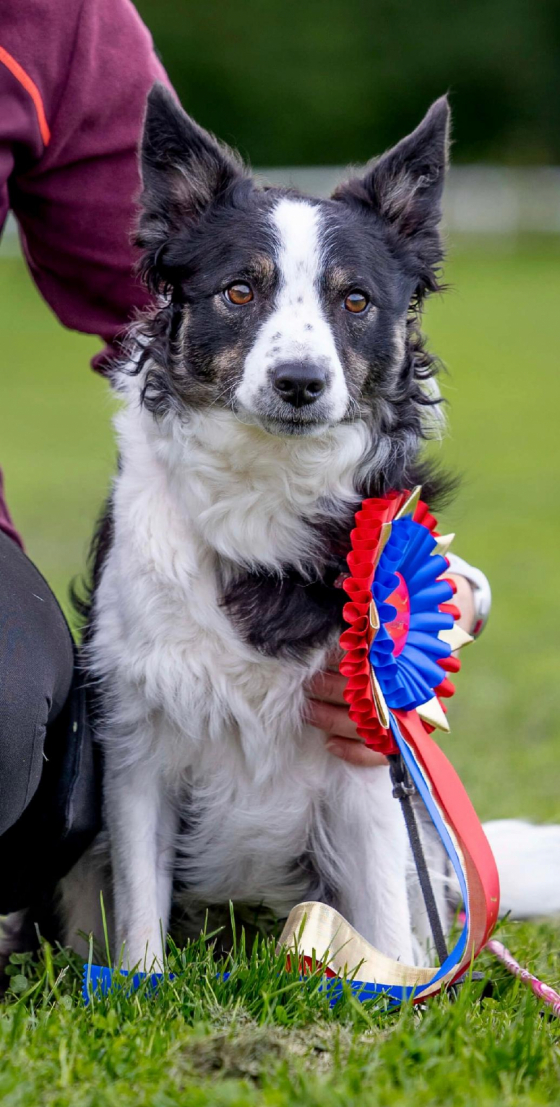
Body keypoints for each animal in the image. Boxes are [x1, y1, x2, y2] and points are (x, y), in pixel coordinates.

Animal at [53, 86, 555, 969]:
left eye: (354, 300)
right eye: (239, 292)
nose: (299, 382)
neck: (265, 487)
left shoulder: (365, 761)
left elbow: (382, 923)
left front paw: (391, 991)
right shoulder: (137, 743)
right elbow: (142, 913)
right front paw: (139, 986)